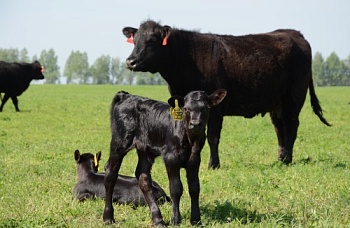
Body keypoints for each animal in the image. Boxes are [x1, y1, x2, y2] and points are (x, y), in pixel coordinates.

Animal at [102, 89, 227, 226]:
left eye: (206, 108)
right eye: (186, 109)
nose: (195, 124)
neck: (191, 140)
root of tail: (126, 96)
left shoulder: (195, 160)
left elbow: (194, 188)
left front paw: (196, 220)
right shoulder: (171, 158)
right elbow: (176, 188)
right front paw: (175, 220)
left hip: (145, 150)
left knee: (143, 177)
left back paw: (158, 219)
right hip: (119, 143)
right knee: (110, 174)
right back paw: (108, 217)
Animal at [123, 20, 330, 167]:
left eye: (151, 41)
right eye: (135, 40)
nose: (130, 61)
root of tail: (294, 33)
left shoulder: (215, 107)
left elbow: (213, 137)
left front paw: (213, 164)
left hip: (293, 99)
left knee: (291, 127)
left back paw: (287, 159)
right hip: (276, 103)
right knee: (280, 129)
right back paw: (281, 159)